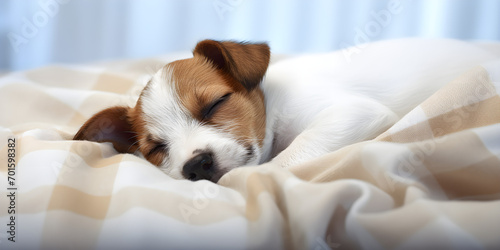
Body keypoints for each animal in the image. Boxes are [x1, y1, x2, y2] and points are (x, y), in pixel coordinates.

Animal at [74, 38, 488, 182]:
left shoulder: (353, 113)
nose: (196, 165)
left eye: (215, 104)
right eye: (156, 148)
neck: (272, 107)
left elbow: (292, 154)